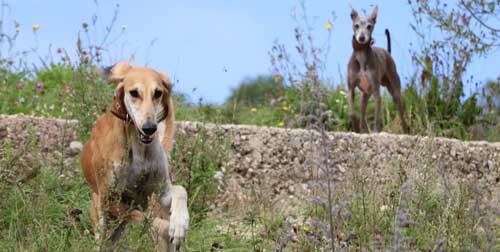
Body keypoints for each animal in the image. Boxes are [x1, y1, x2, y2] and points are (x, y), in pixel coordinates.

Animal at [80, 62, 189, 251]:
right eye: (134, 93)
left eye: (158, 92)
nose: (149, 128)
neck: (139, 149)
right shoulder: (112, 201)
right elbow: (151, 222)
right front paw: (170, 229)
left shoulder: (160, 193)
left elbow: (180, 190)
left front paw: (180, 223)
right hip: (103, 218)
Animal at [350, 5, 408, 134]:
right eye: (356, 26)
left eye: (369, 26)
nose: (361, 38)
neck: (361, 54)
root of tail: (387, 53)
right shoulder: (350, 89)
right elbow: (352, 113)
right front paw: (356, 128)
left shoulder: (376, 92)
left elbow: (377, 115)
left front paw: (376, 131)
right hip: (364, 96)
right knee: (362, 112)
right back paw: (362, 129)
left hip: (395, 92)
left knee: (401, 115)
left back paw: (406, 130)